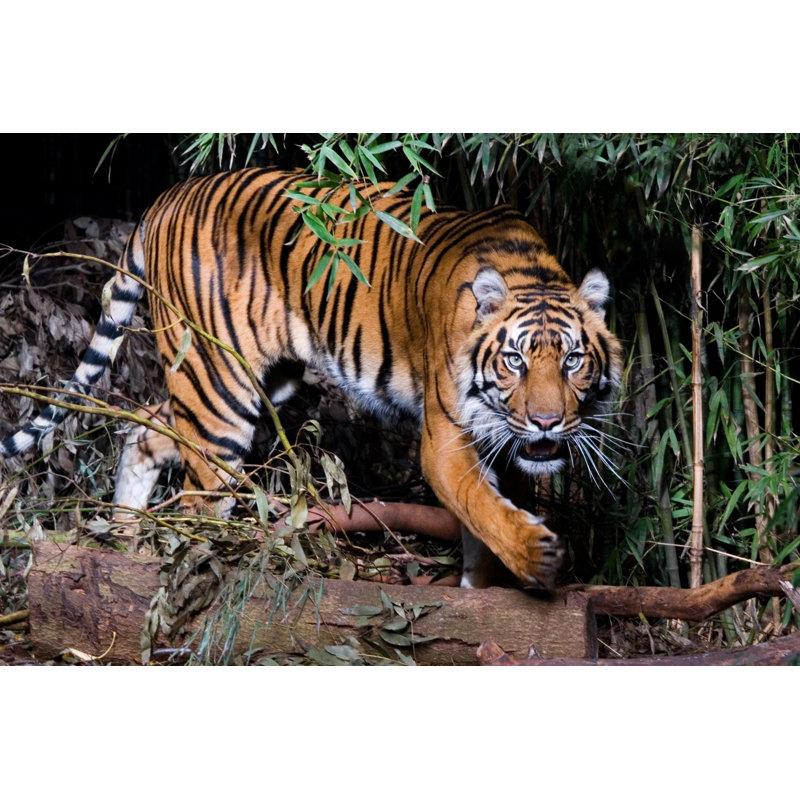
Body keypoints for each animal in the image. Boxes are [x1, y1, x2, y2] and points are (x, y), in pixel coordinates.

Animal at [0, 167, 623, 589]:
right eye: (515, 360)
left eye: (573, 360)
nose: (546, 423)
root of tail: (168, 196)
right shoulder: (445, 437)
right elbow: (478, 503)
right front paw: (540, 556)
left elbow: (484, 520)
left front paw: (485, 587)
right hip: (218, 389)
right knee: (199, 499)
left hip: (250, 380)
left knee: (144, 432)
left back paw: (127, 542)